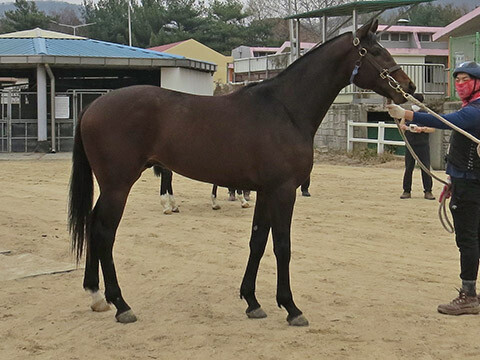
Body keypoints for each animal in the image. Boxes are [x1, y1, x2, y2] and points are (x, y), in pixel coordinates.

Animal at [68, 18, 416, 324]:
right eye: (376, 52)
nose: (410, 87)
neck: (285, 109)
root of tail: (93, 105)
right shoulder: (283, 190)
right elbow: (282, 246)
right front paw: (291, 307)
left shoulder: (265, 191)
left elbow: (257, 241)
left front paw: (252, 301)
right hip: (118, 185)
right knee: (104, 232)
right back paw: (120, 304)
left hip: (111, 186)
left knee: (92, 223)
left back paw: (95, 295)